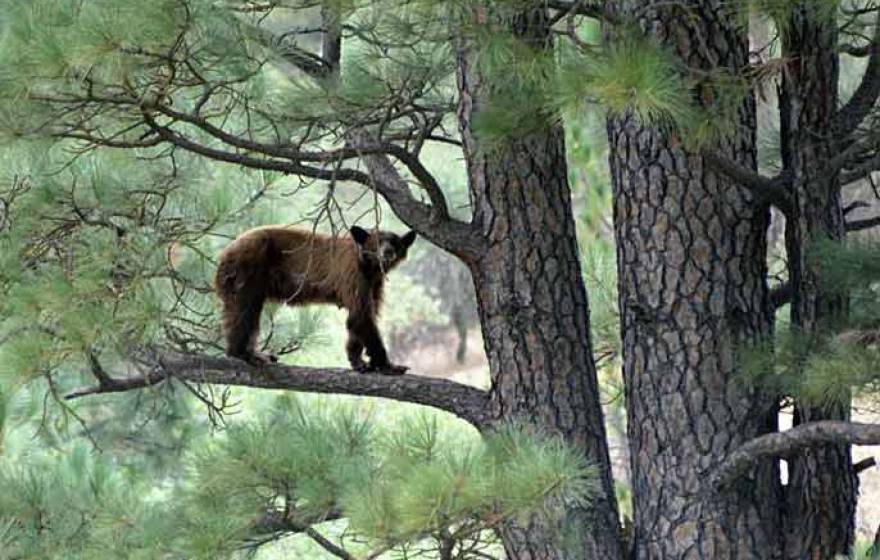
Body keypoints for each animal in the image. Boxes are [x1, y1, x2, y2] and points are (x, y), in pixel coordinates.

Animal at [216, 225, 416, 374]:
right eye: (377, 242)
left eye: (395, 242)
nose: (388, 252)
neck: (370, 268)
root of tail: (225, 252)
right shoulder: (353, 273)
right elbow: (362, 316)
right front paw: (389, 365)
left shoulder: (374, 283)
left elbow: (360, 316)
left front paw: (358, 361)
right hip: (247, 269)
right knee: (244, 309)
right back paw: (244, 353)